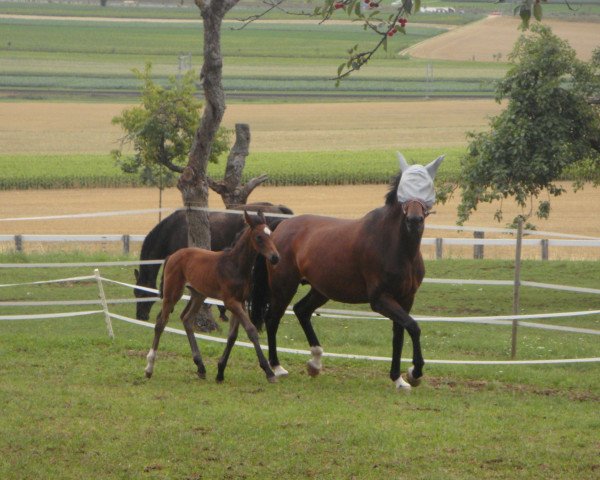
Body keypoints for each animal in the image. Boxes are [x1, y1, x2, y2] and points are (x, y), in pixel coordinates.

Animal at [144, 212, 280, 384]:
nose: (275, 257)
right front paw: (269, 371)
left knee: (186, 319)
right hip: (172, 292)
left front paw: (220, 372)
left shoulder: (241, 302)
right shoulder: (230, 302)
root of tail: (172, 256)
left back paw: (201, 367)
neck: (235, 266)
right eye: (259, 237)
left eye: (271, 235)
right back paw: (149, 368)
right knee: (161, 322)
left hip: (198, 295)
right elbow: (251, 330)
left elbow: (232, 336)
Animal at [250, 154, 446, 390]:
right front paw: (414, 373)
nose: (414, 220)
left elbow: (400, 333)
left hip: (321, 289)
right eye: (404, 190)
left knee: (301, 310)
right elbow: (413, 327)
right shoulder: (380, 300)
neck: (397, 247)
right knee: (273, 319)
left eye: (428, 186)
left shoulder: (405, 298)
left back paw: (315, 363)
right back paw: (277, 368)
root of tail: (280, 227)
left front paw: (399, 379)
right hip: (284, 287)